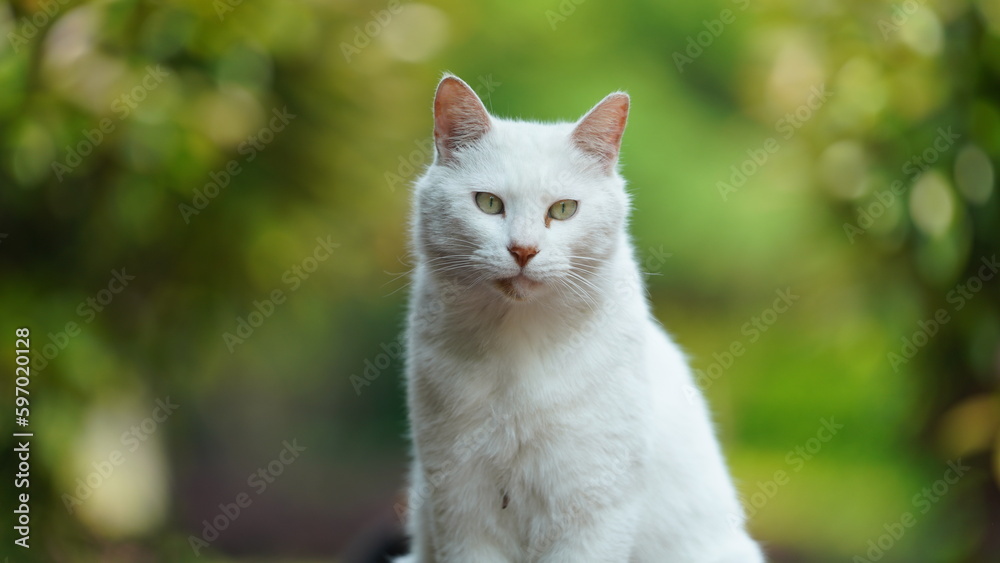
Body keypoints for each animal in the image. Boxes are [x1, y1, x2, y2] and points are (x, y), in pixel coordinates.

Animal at [394, 75, 760, 563]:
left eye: (564, 209)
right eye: (488, 203)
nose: (523, 251)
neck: (518, 342)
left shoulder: (590, 504)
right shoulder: (459, 500)